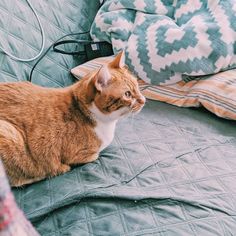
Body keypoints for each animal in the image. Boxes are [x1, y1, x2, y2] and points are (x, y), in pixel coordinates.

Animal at [0, 51, 146, 186]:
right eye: (127, 94)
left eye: (137, 86)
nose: (144, 100)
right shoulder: (82, 155)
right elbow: (94, 155)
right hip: (8, 134)